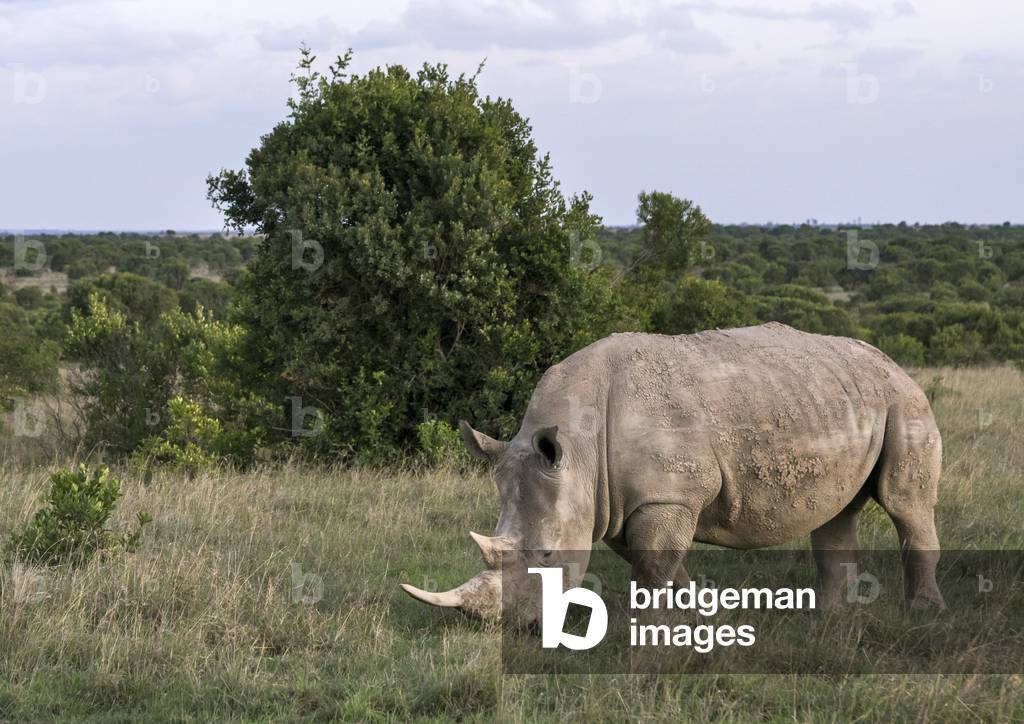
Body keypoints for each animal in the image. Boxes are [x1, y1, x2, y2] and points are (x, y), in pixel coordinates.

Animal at [400, 322, 945, 623]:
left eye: (549, 554)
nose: (516, 629)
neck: (577, 446)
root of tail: (891, 360)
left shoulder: (667, 496)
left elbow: (652, 564)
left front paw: (651, 633)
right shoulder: (616, 501)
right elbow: (657, 564)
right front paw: (695, 615)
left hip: (904, 402)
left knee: (905, 504)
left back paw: (921, 613)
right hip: (840, 397)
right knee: (835, 514)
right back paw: (832, 618)